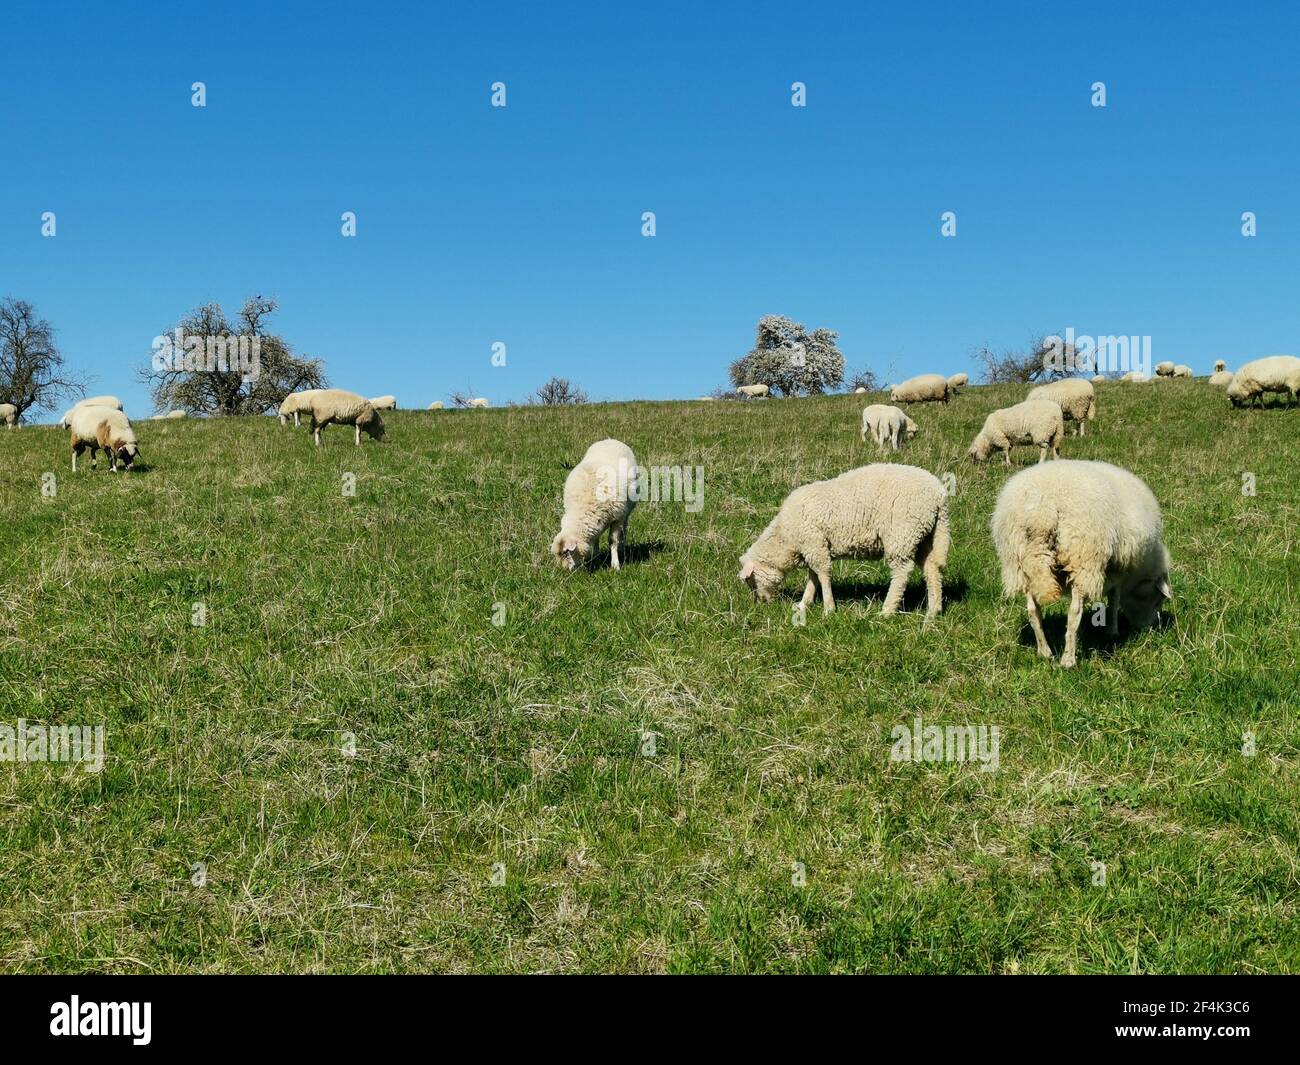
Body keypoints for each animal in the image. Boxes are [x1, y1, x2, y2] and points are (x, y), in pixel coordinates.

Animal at [551, 438, 638, 571]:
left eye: (566, 552)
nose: (565, 571)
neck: (583, 507)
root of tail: (610, 439)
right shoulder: (597, 519)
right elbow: (596, 538)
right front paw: (596, 558)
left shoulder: (617, 517)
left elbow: (613, 540)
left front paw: (615, 565)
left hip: (627, 509)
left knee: (625, 527)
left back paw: (622, 548)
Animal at [738, 463, 949, 619]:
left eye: (751, 580)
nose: (761, 603)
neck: (785, 538)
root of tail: (939, 495)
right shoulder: (813, 546)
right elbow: (813, 576)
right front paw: (804, 603)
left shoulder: (814, 544)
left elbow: (822, 574)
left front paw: (828, 608)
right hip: (925, 536)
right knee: (932, 569)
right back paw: (933, 610)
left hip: (902, 534)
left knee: (902, 572)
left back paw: (887, 611)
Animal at [992, 459, 1171, 668]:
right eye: (1158, 599)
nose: (1149, 628)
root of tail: (1043, 510)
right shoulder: (1118, 570)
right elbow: (1114, 600)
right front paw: (1113, 631)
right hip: (1082, 558)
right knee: (1074, 614)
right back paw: (1068, 660)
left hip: (1022, 563)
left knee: (1033, 611)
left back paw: (1045, 653)